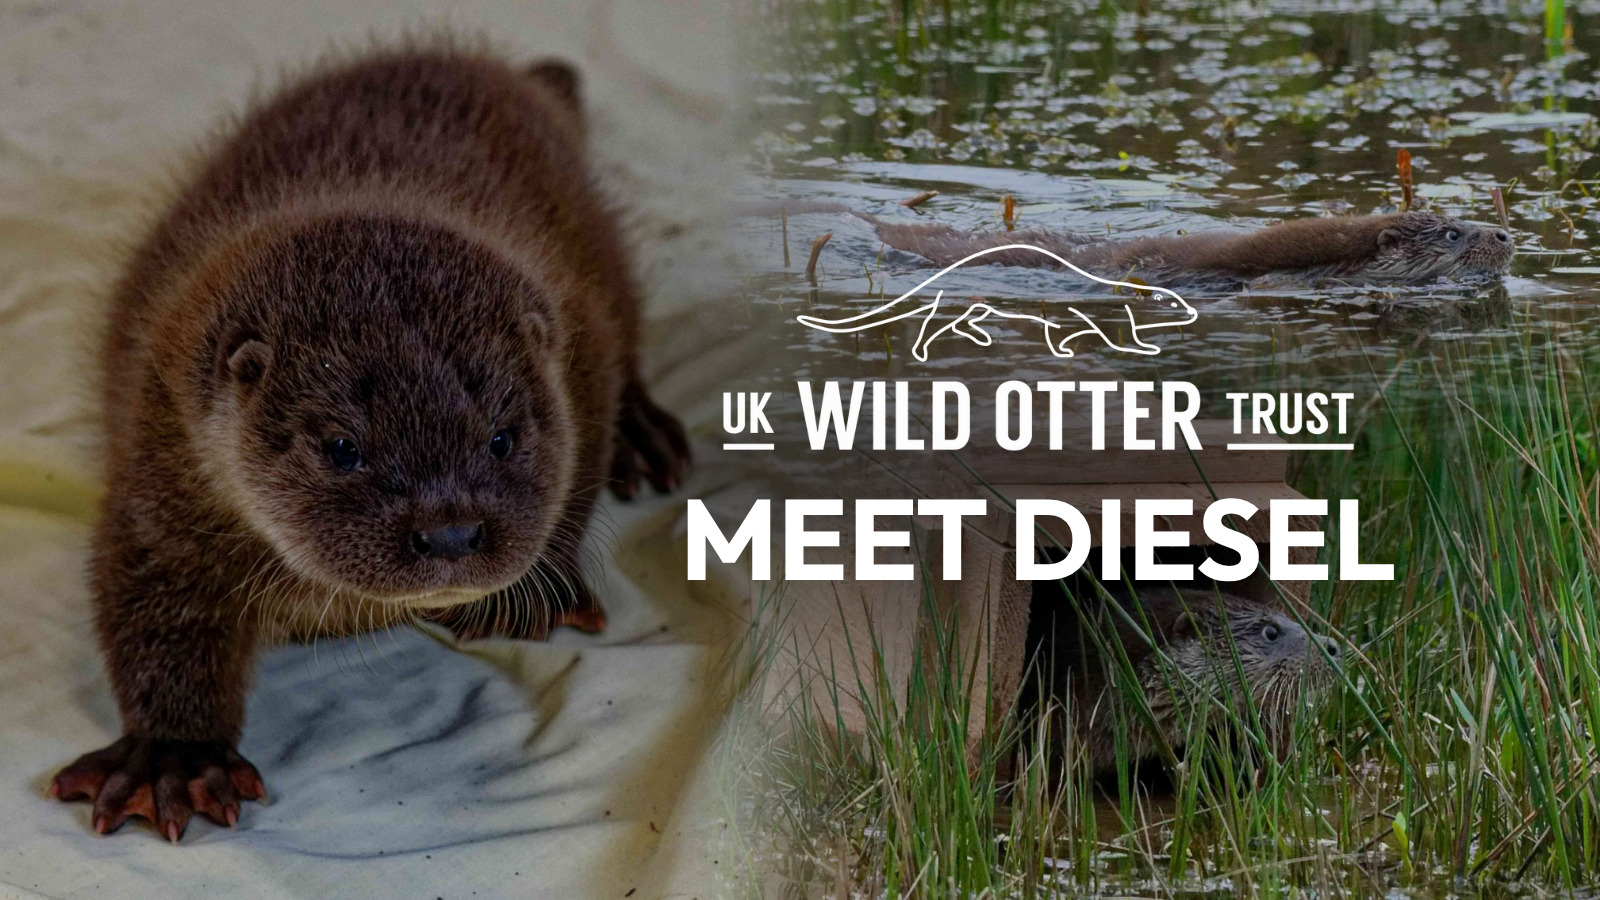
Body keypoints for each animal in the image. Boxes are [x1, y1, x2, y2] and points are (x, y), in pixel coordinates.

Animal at [48, 46, 690, 841]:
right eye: (342, 447)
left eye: (503, 438)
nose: (450, 532)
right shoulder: (162, 432)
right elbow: (150, 587)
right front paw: (173, 757)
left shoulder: (582, 340)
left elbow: (586, 447)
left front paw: (524, 599)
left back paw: (646, 439)